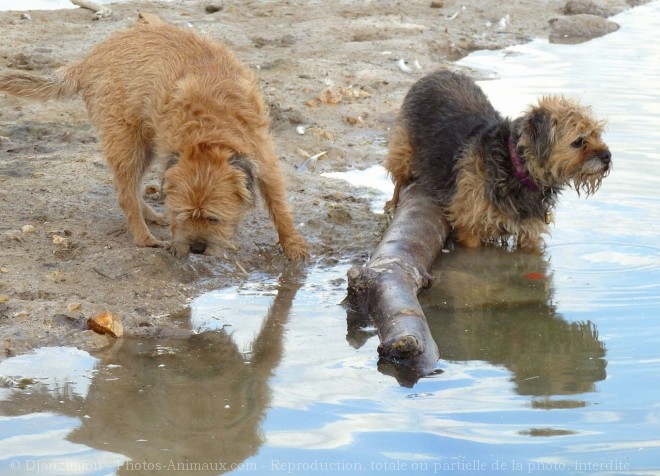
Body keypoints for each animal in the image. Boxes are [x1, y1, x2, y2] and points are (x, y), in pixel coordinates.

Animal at [0, 18, 310, 260]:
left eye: (213, 218)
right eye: (183, 214)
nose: (197, 249)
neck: (209, 130)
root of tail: (87, 61)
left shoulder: (263, 158)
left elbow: (279, 205)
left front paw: (293, 247)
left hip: (144, 144)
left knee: (131, 186)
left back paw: (149, 214)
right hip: (127, 141)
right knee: (125, 192)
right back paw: (145, 237)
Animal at [384, 69, 612, 253]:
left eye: (597, 134)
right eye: (579, 141)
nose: (607, 156)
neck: (516, 166)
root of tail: (437, 72)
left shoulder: (529, 233)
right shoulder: (470, 230)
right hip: (403, 151)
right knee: (398, 180)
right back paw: (391, 205)